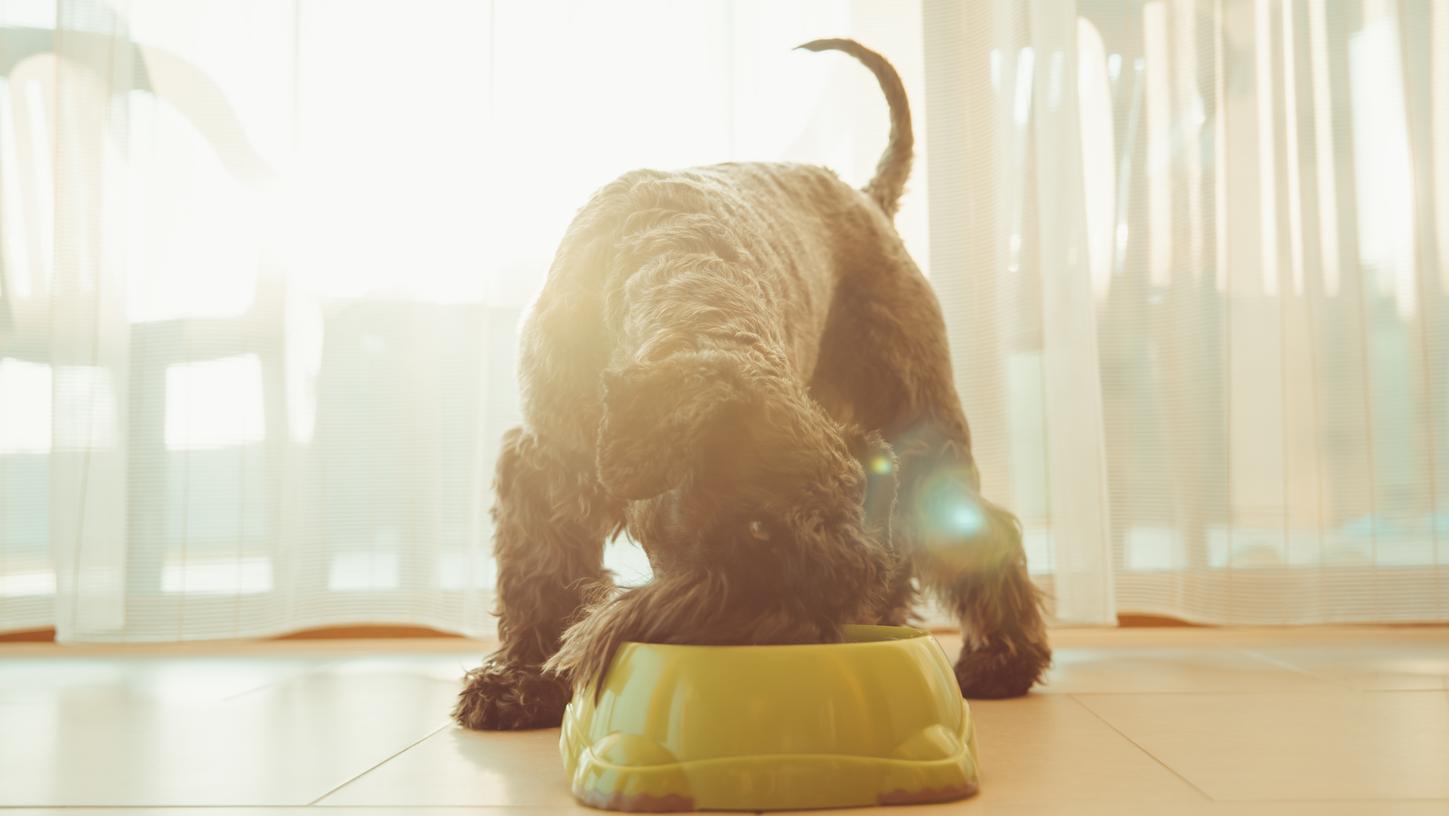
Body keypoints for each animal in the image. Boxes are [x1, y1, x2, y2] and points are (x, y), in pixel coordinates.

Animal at [457, 38, 1049, 730]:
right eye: (757, 528)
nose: (782, 648)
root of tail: (870, 197)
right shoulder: (546, 464)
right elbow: (540, 576)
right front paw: (519, 684)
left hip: (919, 422)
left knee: (979, 531)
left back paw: (1002, 660)